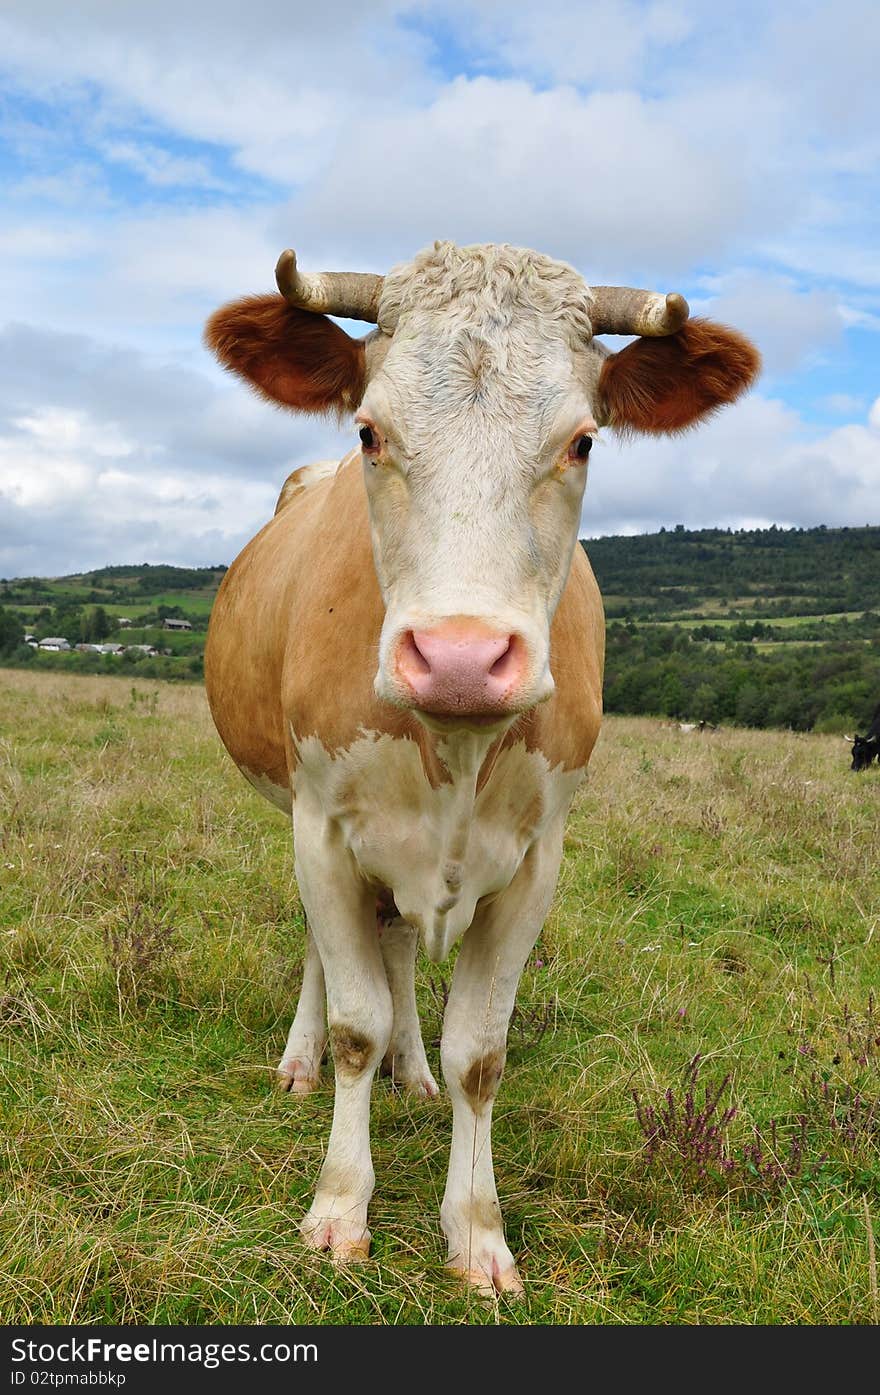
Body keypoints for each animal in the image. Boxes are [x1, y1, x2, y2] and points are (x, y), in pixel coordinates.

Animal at [203, 242, 758, 1294]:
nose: (459, 658)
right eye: (370, 432)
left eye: (583, 442)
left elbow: (481, 1054)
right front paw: (340, 1207)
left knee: (397, 954)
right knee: (333, 958)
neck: (453, 747)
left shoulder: (537, 860)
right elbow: (356, 1020)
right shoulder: (323, 828)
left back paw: (412, 1072)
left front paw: (477, 1228)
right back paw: (303, 1061)